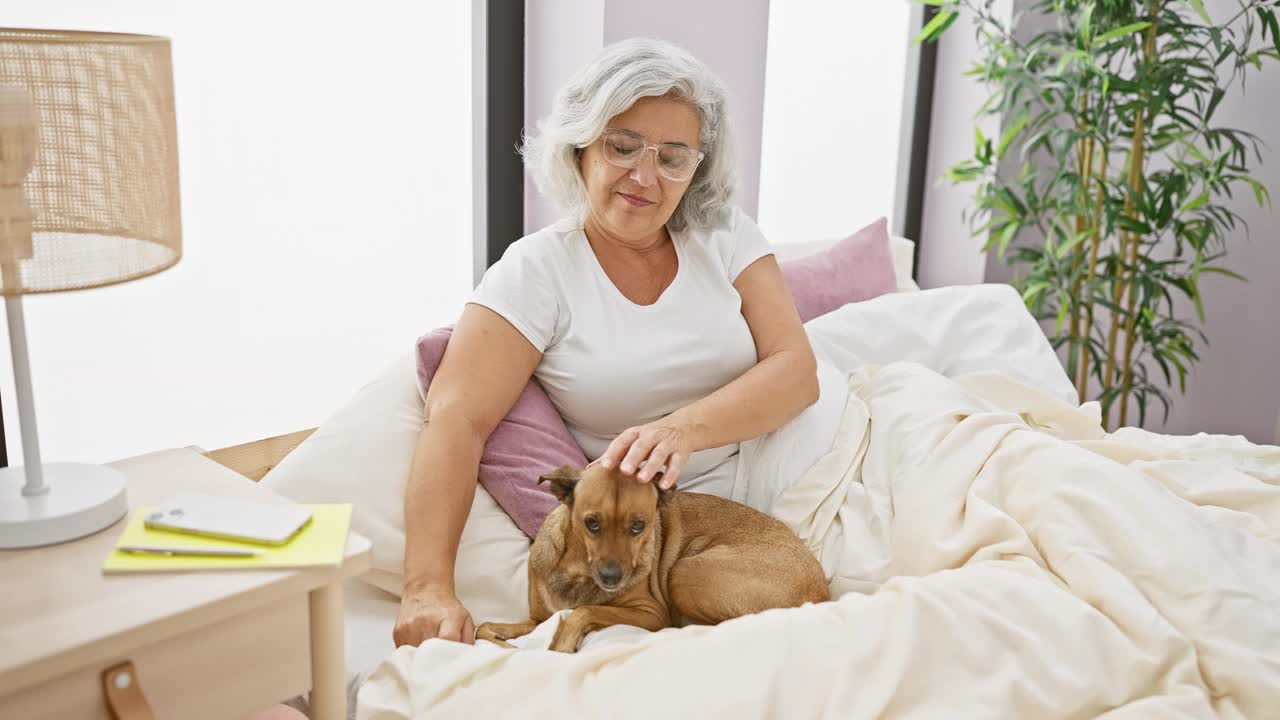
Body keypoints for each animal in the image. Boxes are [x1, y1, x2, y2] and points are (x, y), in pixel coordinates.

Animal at [476, 461, 824, 653]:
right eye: (592, 523)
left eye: (638, 526)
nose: (613, 578)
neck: (578, 571)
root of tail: (822, 593)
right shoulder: (537, 619)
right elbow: (484, 628)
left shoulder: (651, 614)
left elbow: (584, 611)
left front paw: (563, 642)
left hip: (685, 571)